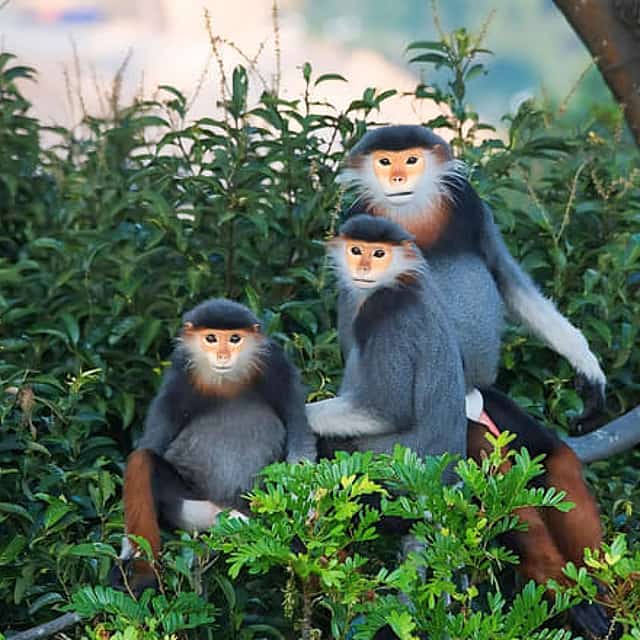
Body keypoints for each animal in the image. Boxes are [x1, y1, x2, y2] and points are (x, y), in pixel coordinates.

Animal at [110, 298, 317, 595]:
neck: (226, 382)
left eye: (234, 339)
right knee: (142, 460)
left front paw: (307, 515)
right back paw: (143, 574)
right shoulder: (178, 378)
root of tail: (222, 509)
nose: (222, 356)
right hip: (187, 504)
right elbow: (152, 443)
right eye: (211, 338)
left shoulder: (278, 367)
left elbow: (300, 439)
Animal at [338, 125, 606, 434]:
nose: (397, 178)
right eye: (384, 161)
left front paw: (587, 365)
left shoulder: (468, 201)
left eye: (411, 160)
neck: (412, 212)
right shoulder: (358, 216)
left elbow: (506, 277)